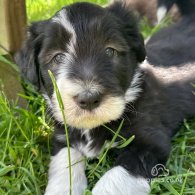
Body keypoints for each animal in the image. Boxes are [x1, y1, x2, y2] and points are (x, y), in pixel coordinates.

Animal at [15, 0, 195, 195]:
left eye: (110, 51)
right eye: (58, 57)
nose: (88, 99)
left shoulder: (151, 143)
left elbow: (114, 178)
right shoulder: (63, 137)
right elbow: (64, 163)